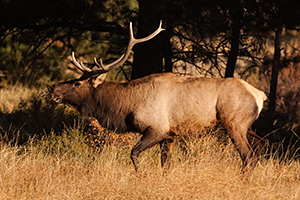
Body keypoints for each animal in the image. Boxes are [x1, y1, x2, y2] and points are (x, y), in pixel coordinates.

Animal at [48, 20, 268, 173]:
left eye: (77, 83)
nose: (52, 88)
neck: (125, 108)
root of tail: (260, 95)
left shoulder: (157, 129)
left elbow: (134, 153)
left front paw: (141, 176)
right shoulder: (169, 136)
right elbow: (165, 165)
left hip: (234, 123)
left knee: (248, 155)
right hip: (246, 125)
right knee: (260, 145)